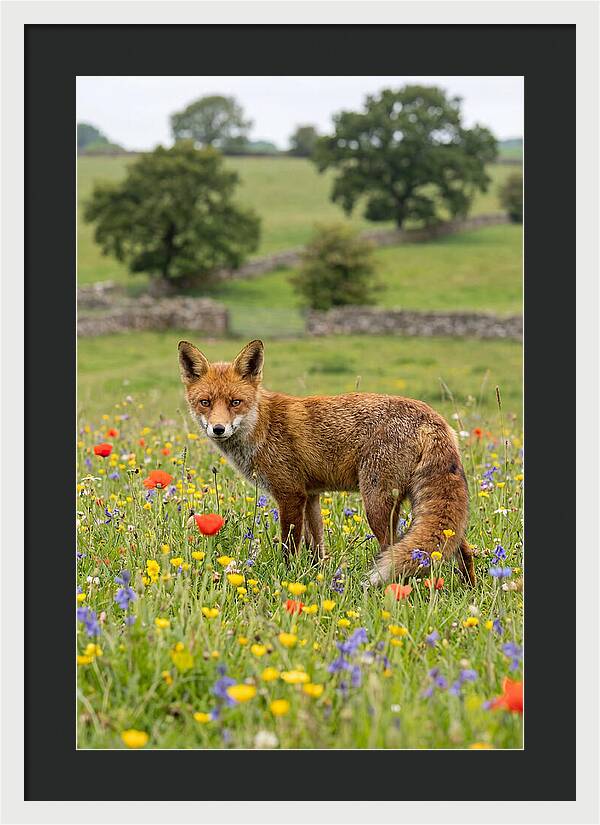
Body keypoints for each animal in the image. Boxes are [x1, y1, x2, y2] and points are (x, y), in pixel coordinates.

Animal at [178, 338, 475, 587]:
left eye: (235, 402)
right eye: (205, 402)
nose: (218, 429)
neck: (262, 426)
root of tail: (432, 417)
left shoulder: (290, 494)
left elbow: (289, 546)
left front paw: (287, 577)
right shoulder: (311, 496)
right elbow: (316, 547)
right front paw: (316, 577)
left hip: (377, 503)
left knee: (392, 549)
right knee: (461, 547)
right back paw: (468, 588)